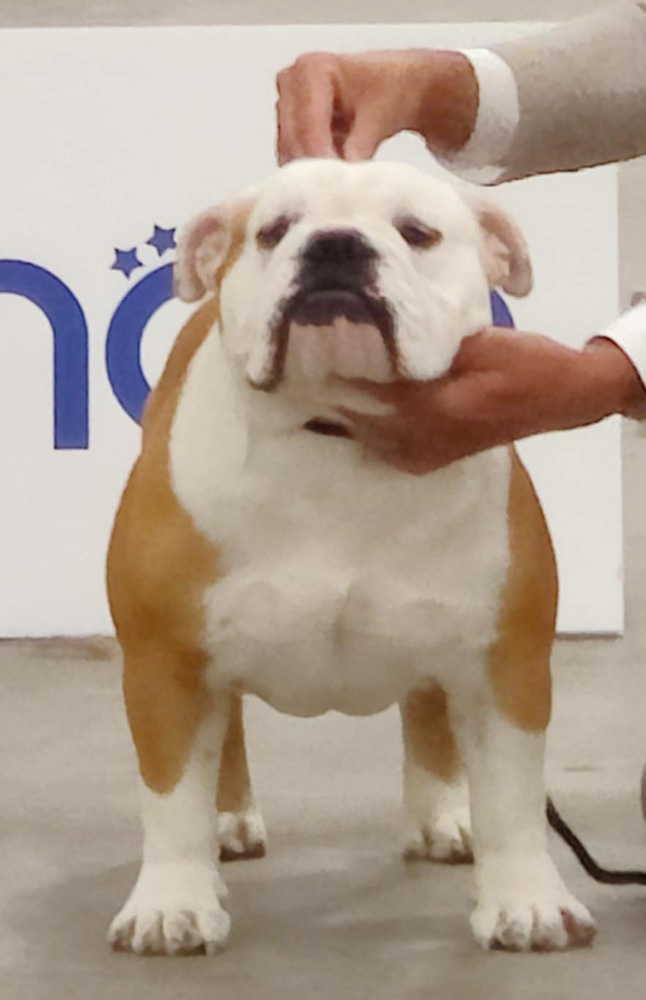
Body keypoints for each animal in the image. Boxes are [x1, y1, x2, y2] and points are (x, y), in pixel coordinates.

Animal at [106, 158, 596, 956]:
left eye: (418, 233)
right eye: (274, 231)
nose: (335, 244)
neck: (334, 431)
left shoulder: (503, 665)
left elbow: (513, 796)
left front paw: (526, 901)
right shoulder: (165, 661)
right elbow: (172, 795)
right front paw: (171, 903)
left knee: (429, 711)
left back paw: (443, 815)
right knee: (225, 730)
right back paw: (226, 821)